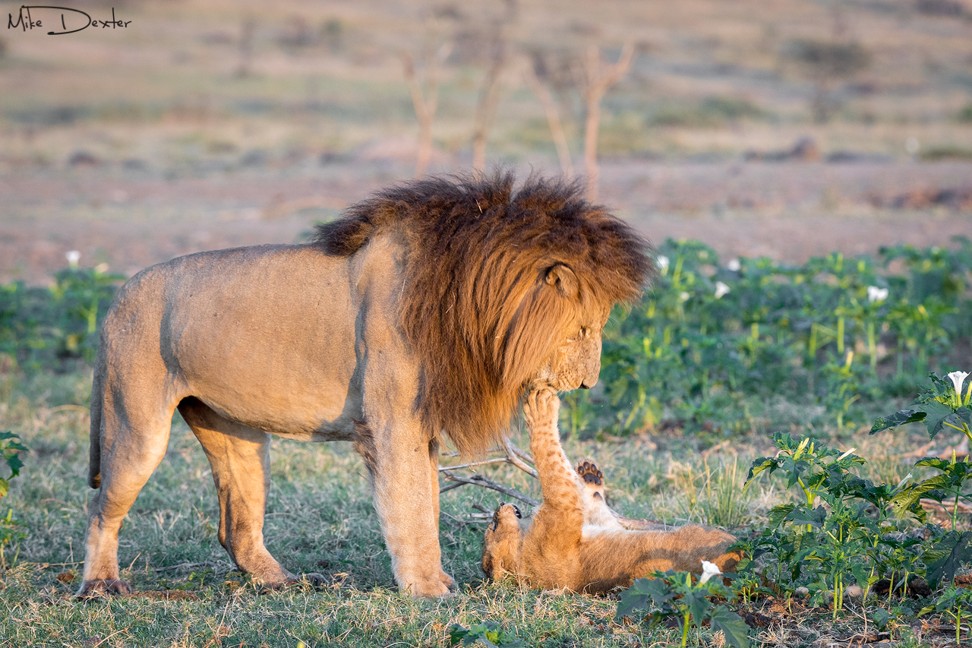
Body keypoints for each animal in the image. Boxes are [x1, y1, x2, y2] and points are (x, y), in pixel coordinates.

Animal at [76, 171, 652, 596]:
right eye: (584, 330)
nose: (588, 384)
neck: (467, 300)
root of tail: (117, 295)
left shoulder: (424, 428)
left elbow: (429, 505)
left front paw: (437, 580)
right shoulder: (396, 424)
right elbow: (413, 506)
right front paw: (428, 592)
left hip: (237, 434)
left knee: (235, 526)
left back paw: (284, 582)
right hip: (137, 425)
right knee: (101, 508)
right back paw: (101, 586)